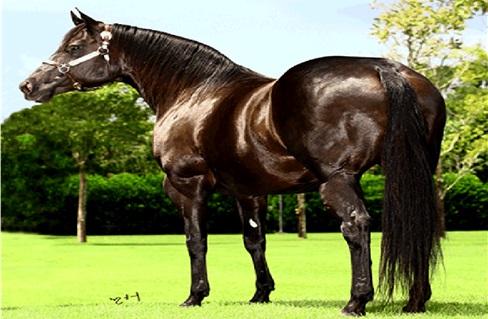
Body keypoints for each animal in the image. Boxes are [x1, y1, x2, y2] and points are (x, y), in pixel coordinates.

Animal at [20, 10, 446, 318]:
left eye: (75, 46)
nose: (28, 85)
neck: (192, 92)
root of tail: (384, 68)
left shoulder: (187, 186)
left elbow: (196, 241)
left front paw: (195, 296)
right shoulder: (249, 191)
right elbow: (254, 241)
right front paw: (261, 294)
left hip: (338, 179)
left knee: (355, 226)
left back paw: (356, 301)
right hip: (412, 173)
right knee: (418, 221)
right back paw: (415, 300)